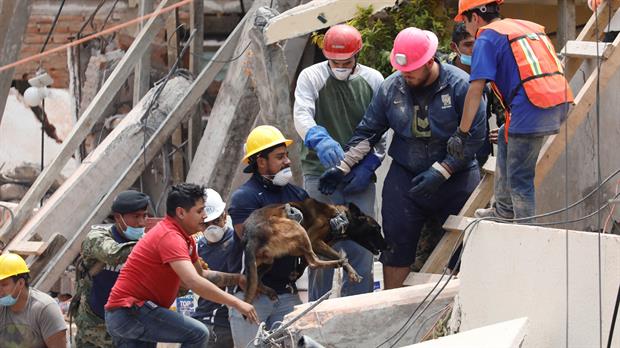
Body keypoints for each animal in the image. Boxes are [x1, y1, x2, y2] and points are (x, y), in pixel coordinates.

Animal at [242, 198, 388, 304]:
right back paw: (337, 263)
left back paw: (270, 292)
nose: (388, 247)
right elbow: (334, 257)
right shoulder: (314, 241)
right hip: (298, 229)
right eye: (376, 228)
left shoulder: (314, 245)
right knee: (314, 262)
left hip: (267, 262)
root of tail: (251, 234)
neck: (337, 215)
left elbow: (302, 265)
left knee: (250, 279)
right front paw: (351, 271)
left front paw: (294, 276)